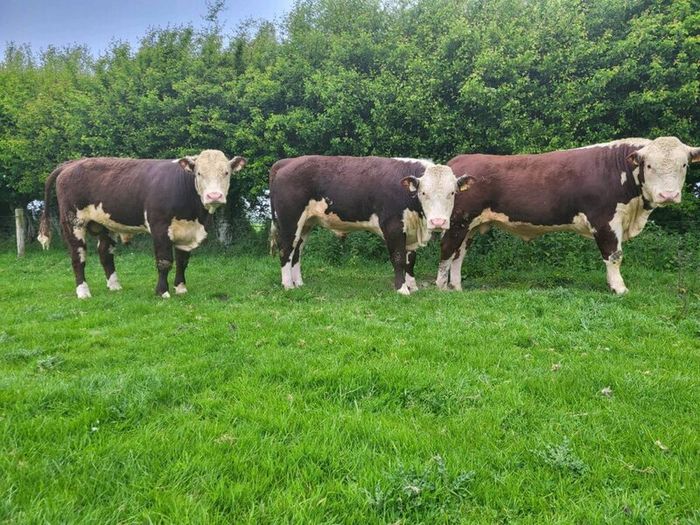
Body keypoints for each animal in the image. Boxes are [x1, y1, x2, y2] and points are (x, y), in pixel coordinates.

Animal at [37, 151, 247, 298]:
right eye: (199, 173)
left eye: (226, 172)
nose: (214, 196)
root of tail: (72, 163)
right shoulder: (159, 227)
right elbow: (164, 261)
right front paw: (162, 291)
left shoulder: (186, 231)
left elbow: (182, 261)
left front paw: (180, 288)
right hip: (74, 222)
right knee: (78, 255)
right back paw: (83, 292)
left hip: (105, 224)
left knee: (105, 253)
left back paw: (115, 286)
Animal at [269, 156, 473, 294]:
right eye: (423, 193)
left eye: (452, 193)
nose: (438, 222)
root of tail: (287, 162)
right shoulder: (393, 227)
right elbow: (399, 258)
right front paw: (402, 289)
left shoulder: (410, 231)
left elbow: (410, 260)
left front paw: (412, 286)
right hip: (289, 221)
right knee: (286, 249)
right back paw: (288, 285)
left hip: (305, 224)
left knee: (297, 251)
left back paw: (298, 283)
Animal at [437, 137, 700, 294]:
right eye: (649, 165)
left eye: (684, 165)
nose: (668, 195)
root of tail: (460, 160)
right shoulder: (604, 220)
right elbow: (614, 256)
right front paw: (619, 289)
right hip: (456, 221)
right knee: (447, 250)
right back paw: (441, 287)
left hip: (470, 226)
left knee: (459, 254)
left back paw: (457, 287)